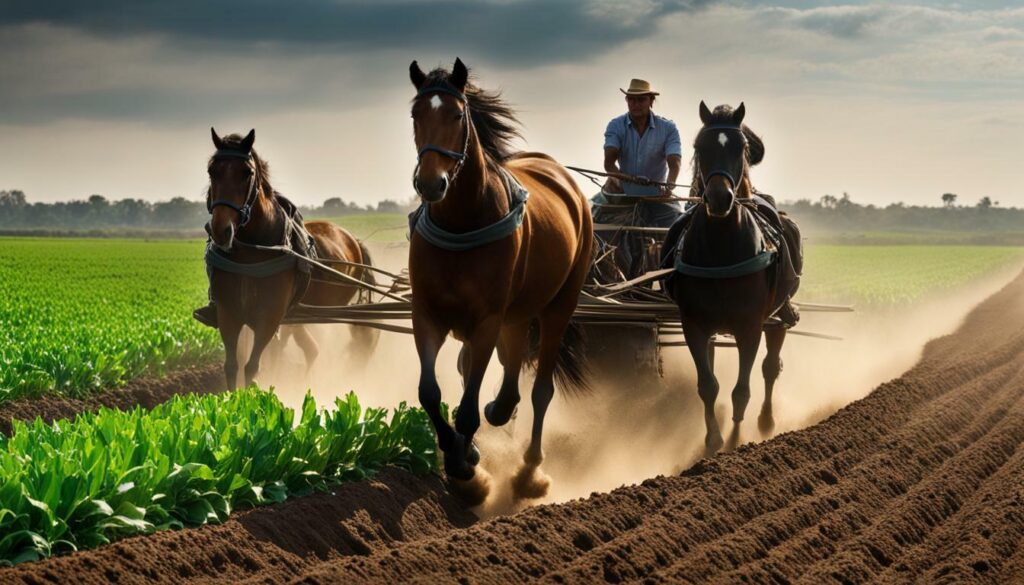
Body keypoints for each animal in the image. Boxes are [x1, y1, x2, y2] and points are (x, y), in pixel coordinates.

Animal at [206, 129, 378, 389]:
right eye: (212, 171)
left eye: (247, 173)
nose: (220, 229)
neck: (251, 252)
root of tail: (354, 240)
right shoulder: (229, 313)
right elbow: (232, 366)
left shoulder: (270, 317)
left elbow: (253, 366)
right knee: (310, 349)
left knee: (312, 349)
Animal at [407, 58, 593, 503]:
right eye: (416, 114)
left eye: (457, 115)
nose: (431, 183)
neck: (461, 225)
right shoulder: (426, 314)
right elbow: (430, 391)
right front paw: (460, 452)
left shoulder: (488, 319)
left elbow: (469, 404)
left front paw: (465, 467)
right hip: (517, 313)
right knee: (507, 372)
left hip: (558, 305)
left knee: (540, 389)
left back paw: (529, 470)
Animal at [665, 102, 790, 455]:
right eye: (699, 146)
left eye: (741, 147)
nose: (720, 198)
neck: (721, 248)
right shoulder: (694, 325)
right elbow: (708, 385)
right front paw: (713, 440)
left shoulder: (750, 327)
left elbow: (741, 390)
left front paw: (734, 441)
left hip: (777, 318)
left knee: (770, 367)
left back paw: (766, 420)